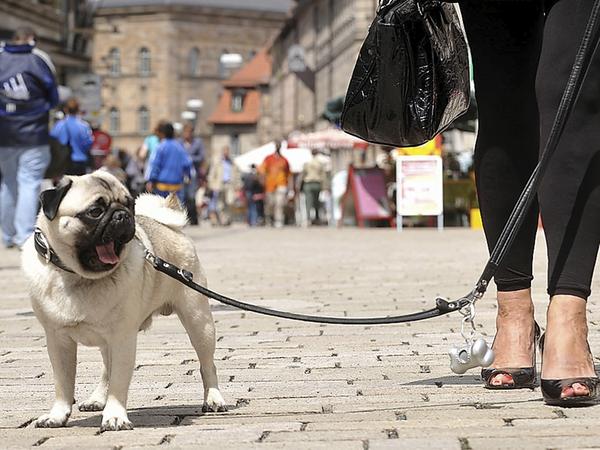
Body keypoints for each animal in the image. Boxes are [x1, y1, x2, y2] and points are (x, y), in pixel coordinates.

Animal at [21, 171, 226, 430]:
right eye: (95, 211)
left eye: (130, 205)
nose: (123, 215)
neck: (77, 276)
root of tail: (169, 226)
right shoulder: (58, 340)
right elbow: (63, 384)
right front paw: (57, 415)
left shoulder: (122, 339)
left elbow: (118, 383)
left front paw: (115, 416)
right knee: (105, 370)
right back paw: (97, 399)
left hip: (199, 322)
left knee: (207, 364)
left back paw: (214, 399)